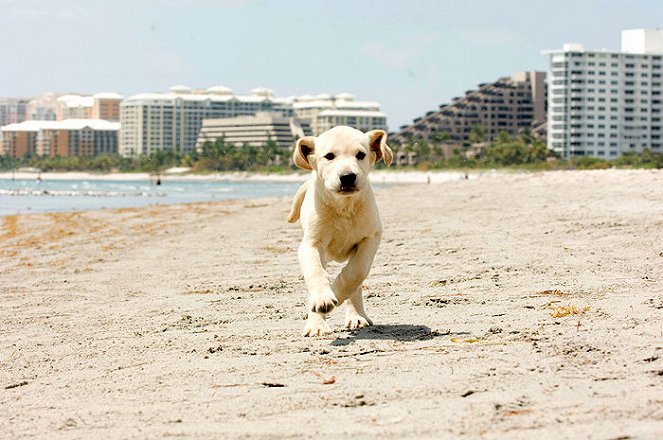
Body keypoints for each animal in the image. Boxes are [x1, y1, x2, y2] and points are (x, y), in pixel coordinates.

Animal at [288, 125, 392, 336]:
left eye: (361, 155)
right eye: (329, 156)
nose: (347, 177)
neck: (344, 207)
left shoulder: (371, 238)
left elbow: (356, 272)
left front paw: (335, 291)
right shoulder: (311, 244)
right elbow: (315, 272)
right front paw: (322, 300)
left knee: (356, 285)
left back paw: (357, 316)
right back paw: (316, 324)